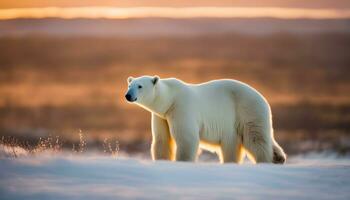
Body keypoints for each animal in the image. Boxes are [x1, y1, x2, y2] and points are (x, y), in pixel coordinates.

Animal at [124, 76, 286, 163]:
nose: (128, 95)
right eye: (129, 85)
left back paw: (265, 161)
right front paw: (162, 161)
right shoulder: (161, 116)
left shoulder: (181, 108)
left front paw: (181, 162)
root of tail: (263, 99)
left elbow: (186, 138)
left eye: (140, 86)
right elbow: (161, 139)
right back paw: (278, 158)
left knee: (255, 139)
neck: (170, 98)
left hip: (248, 110)